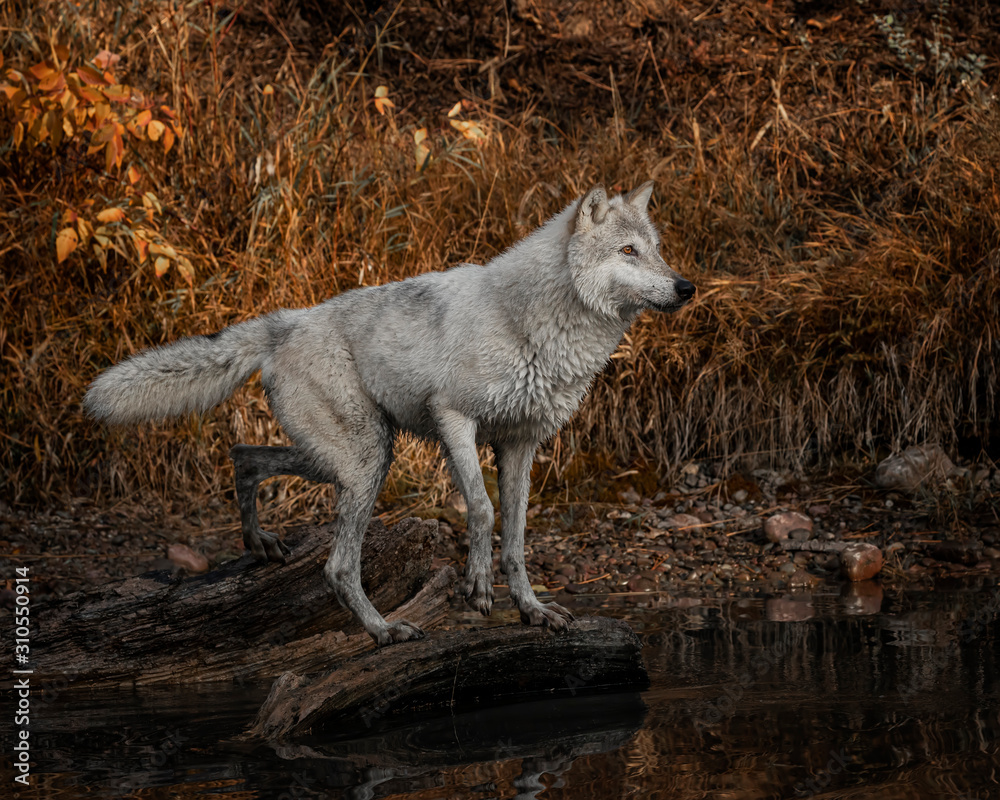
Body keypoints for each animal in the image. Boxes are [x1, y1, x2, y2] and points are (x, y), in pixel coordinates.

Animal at [84, 182, 694, 645]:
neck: (536, 323)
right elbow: (482, 511)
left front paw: (532, 610)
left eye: (657, 249)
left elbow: (518, 538)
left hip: (351, 456)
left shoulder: (520, 444)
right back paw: (382, 631)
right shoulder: (454, 419)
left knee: (245, 455)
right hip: (367, 460)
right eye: (628, 252)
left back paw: (261, 545)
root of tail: (285, 322)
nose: (686, 286)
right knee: (336, 567)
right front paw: (477, 589)